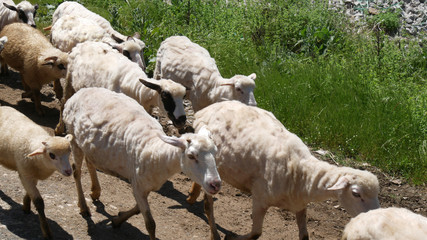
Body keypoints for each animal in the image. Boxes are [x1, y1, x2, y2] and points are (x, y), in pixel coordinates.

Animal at [0, 106, 73, 240]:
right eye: (52, 155)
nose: (68, 171)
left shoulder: (31, 176)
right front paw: (47, 232)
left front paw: (26, 204)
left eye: (70, 151)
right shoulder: (25, 175)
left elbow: (30, 192)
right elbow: (39, 202)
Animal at [54, 40, 187, 136]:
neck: (137, 90)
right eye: (165, 95)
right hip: (69, 79)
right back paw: (59, 128)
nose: (182, 120)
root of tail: (82, 44)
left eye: (183, 96)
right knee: (63, 101)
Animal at [63, 88, 222, 240]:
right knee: (76, 172)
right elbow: (150, 224)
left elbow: (138, 209)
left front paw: (117, 220)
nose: (215, 184)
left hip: (89, 147)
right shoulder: (138, 185)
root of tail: (80, 92)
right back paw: (83, 207)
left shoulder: (145, 185)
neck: (157, 152)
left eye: (215, 152)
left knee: (90, 162)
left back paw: (95, 191)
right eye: (191, 156)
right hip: (74, 137)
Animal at [187, 101, 382, 240]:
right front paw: (233, 237)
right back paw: (214, 232)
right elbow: (256, 233)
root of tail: (205, 110)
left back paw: (192, 195)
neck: (302, 172)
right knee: (208, 205)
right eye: (356, 194)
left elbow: (304, 236)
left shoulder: (300, 205)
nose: (374, 218)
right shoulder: (260, 199)